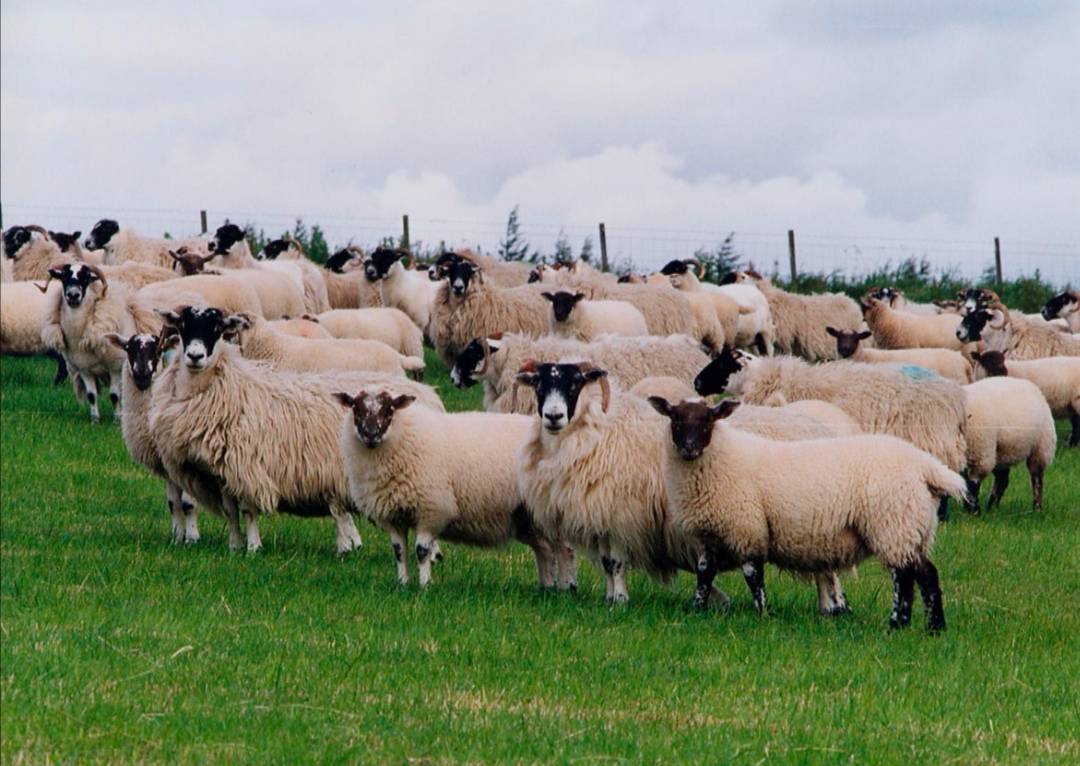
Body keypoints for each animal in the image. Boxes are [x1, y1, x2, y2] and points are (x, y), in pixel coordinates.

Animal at [103, 332, 200, 544]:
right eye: (128, 348)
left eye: (158, 350)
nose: (142, 374)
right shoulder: (168, 465)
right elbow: (173, 503)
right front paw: (177, 538)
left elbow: (188, 504)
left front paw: (192, 538)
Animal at [336, 390, 570, 588]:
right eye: (355, 408)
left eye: (390, 409)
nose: (370, 434)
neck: (404, 438)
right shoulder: (393, 516)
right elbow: (399, 552)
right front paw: (402, 584)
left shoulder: (431, 509)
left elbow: (421, 551)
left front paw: (424, 586)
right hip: (526, 518)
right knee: (545, 549)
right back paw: (546, 587)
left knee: (562, 549)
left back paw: (564, 588)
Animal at [649, 397, 962, 631]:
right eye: (675, 419)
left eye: (708, 421)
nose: (689, 448)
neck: (721, 459)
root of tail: (925, 465)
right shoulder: (709, 535)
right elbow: (704, 573)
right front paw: (697, 609)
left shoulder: (746, 528)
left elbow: (753, 575)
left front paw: (763, 613)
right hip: (913, 526)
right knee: (926, 574)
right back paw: (933, 627)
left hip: (893, 523)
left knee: (904, 576)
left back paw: (898, 624)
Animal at [961, 377, 1056, 513]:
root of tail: (1031, 386)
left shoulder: (980, 455)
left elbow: (972, 484)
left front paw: (974, 511)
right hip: (1003, 452)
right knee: (1002, 480)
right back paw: (992, 507)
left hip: (1040, 447)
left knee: (1037, 478)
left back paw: (1036, 509)